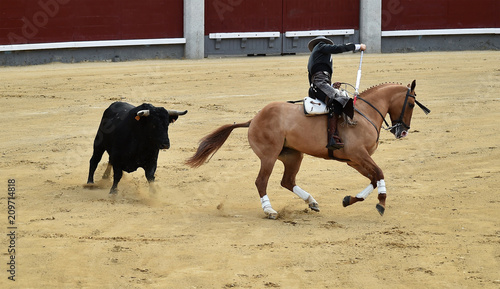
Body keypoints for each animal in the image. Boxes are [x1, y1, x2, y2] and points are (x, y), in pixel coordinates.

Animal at [188, 80, 430, 217]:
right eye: (411, 104)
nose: (403, 131)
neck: (364, 113)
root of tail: (254, 118)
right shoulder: (358, 154)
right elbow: (379, 173)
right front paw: (381, 203)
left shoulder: (354, 160)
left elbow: (373, 178)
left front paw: (349, 200)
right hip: (269, 156)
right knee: (261, 181)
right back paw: (270, 210)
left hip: (293, 156)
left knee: (287, 181)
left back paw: (311, 202)